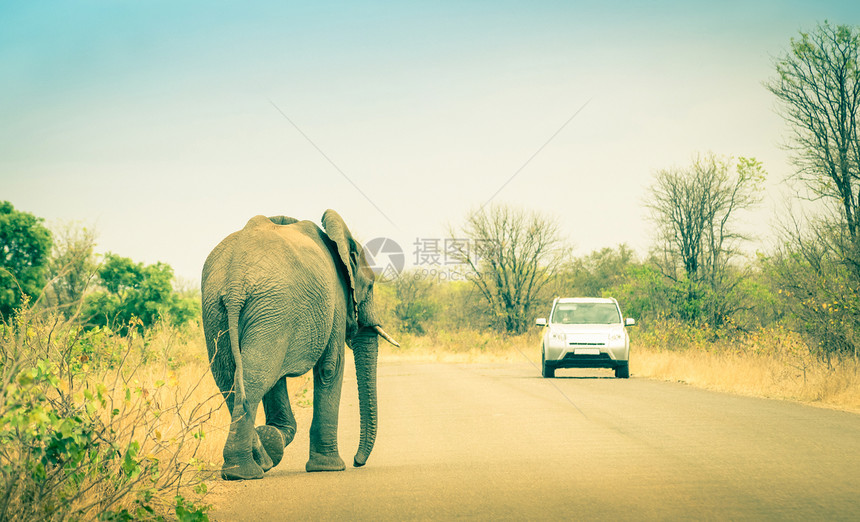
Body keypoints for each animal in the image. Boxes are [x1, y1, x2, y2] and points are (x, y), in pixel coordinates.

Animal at [202, 209, 400, 478]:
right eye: (369, 285)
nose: (358, 461)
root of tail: (234, 282)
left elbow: (277, 380)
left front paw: (273, 438)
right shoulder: (335, 298)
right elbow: (330, 367)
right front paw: (328, 468)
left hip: (222, 307)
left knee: (229, 378)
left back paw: (256, 464)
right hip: (271, 304)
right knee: (255, 377)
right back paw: (245, 472)